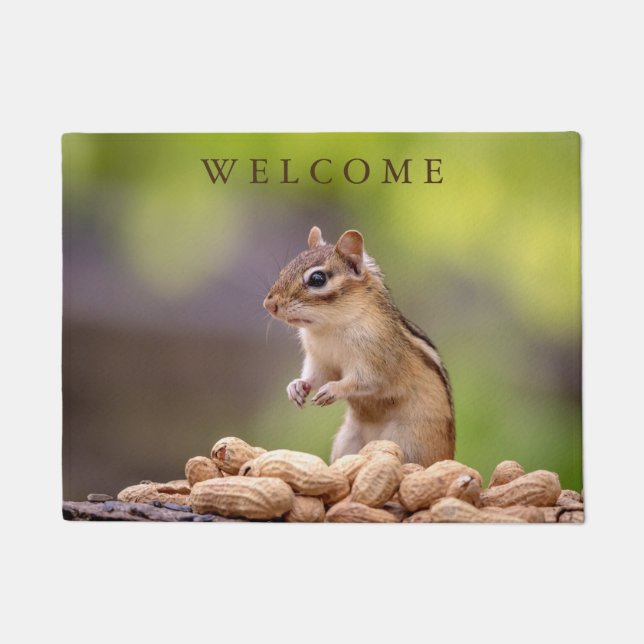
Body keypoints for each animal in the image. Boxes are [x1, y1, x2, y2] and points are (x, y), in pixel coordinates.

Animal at [263, 226, 455, 466]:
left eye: (317, 279)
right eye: (284, 270)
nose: (269, 304)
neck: (329, 328)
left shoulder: (377, 358)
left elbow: (365, 381)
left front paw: (333, 390)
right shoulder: (320, 360)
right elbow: (316, 376)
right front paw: (296, 386)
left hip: (410, 442)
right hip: (347, 440)